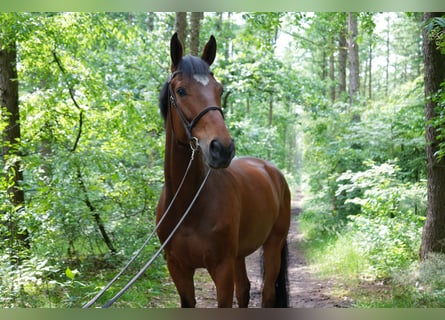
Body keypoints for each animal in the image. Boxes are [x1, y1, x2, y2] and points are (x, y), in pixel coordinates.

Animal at [156, 32, 292, 308]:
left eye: (219, 90)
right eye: (181, 91)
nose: (223, 148)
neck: (188, 206)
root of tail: (271, 170)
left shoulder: (222, 268)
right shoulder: (178, 269)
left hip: (273, 244)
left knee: (267, 294)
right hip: (239, 255)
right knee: (245, 290)